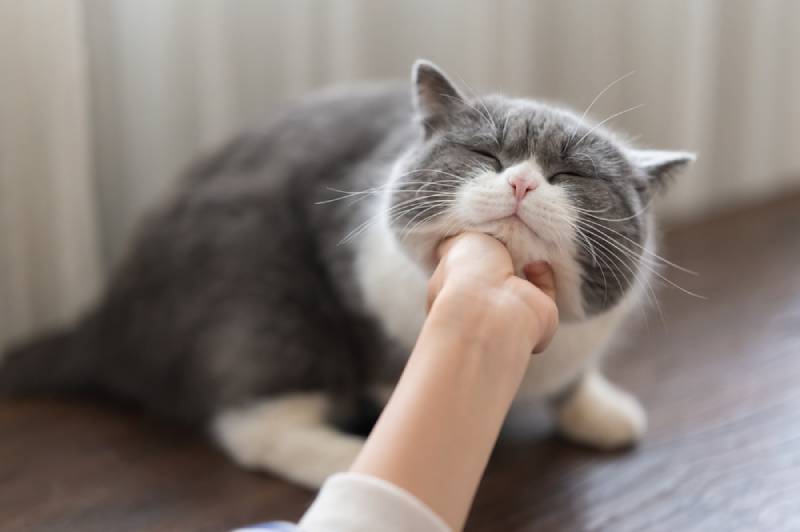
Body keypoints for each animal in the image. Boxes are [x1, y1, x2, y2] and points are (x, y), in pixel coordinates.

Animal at [0, 61, 692, 486]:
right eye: (485, 154)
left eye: (571, 175)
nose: (522, 182)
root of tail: (106, 317)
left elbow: (576, 373)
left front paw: (600, 409)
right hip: (263, 297)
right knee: (252, 424)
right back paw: (350, 455)